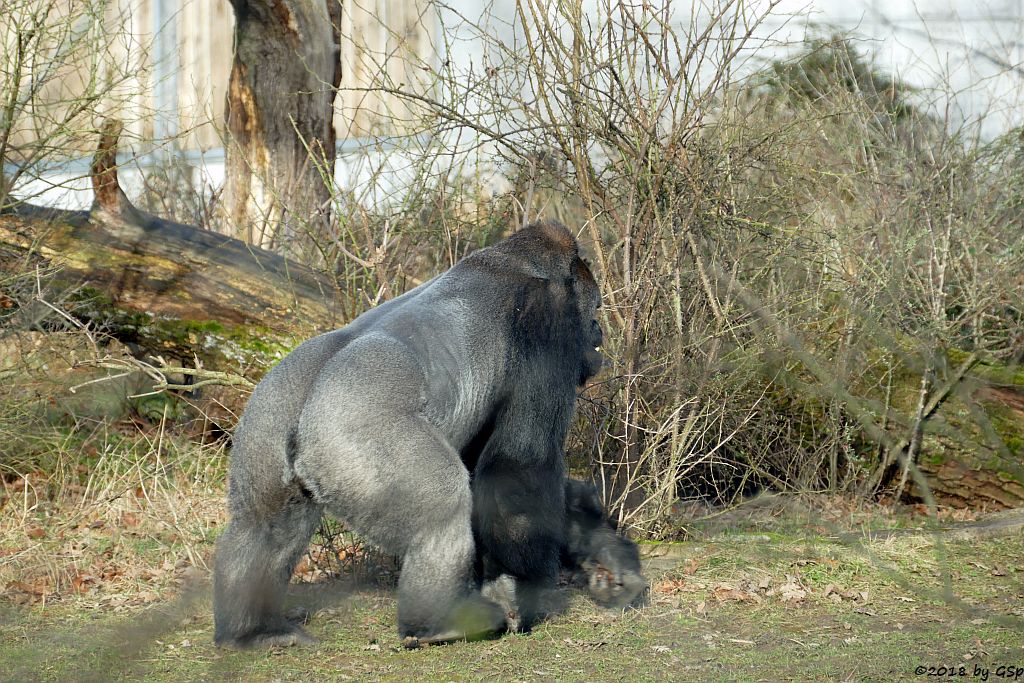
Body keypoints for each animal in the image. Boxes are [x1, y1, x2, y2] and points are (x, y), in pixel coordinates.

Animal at [212, 222, 602, 651]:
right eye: (597, 308)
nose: (598, 331)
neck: (520, 260)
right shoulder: (547, 320)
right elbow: (520, 464)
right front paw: (528, 591)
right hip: (353, 436)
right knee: (442, 501)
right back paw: (438, 623)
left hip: (266, 417)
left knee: (262, 525)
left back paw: (254, 631)